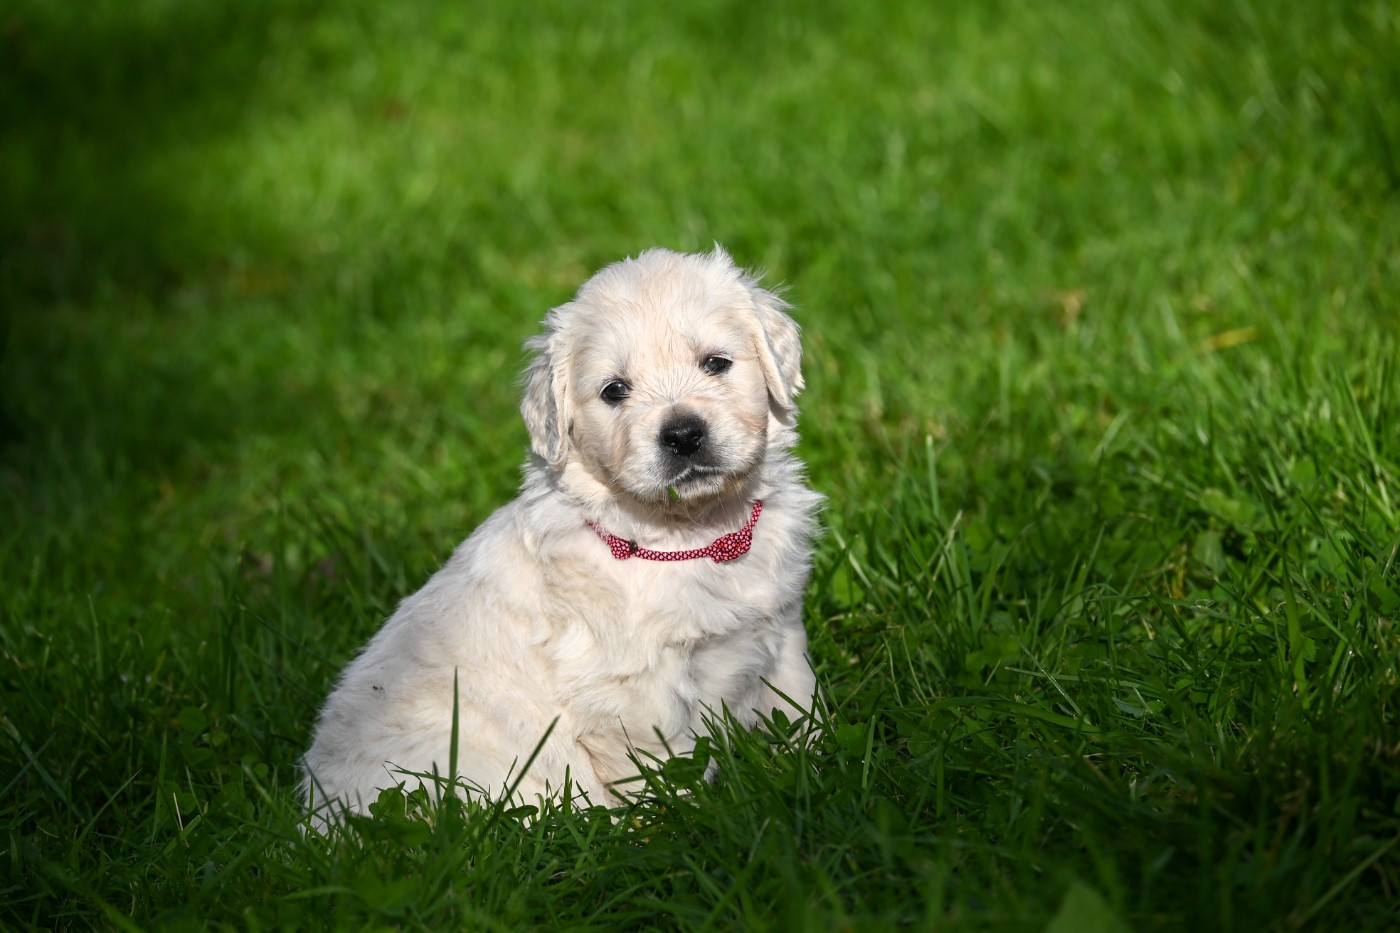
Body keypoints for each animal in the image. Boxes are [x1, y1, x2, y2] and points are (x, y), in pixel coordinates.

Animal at [302, 246, 822, 825]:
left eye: (716, 362)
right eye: (614, 390)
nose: (684, 434)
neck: (695, 533)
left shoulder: (780, 629)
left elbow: (800, 706)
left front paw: (821, 770)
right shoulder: (634, 693)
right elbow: (669, 778)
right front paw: (680, 829)